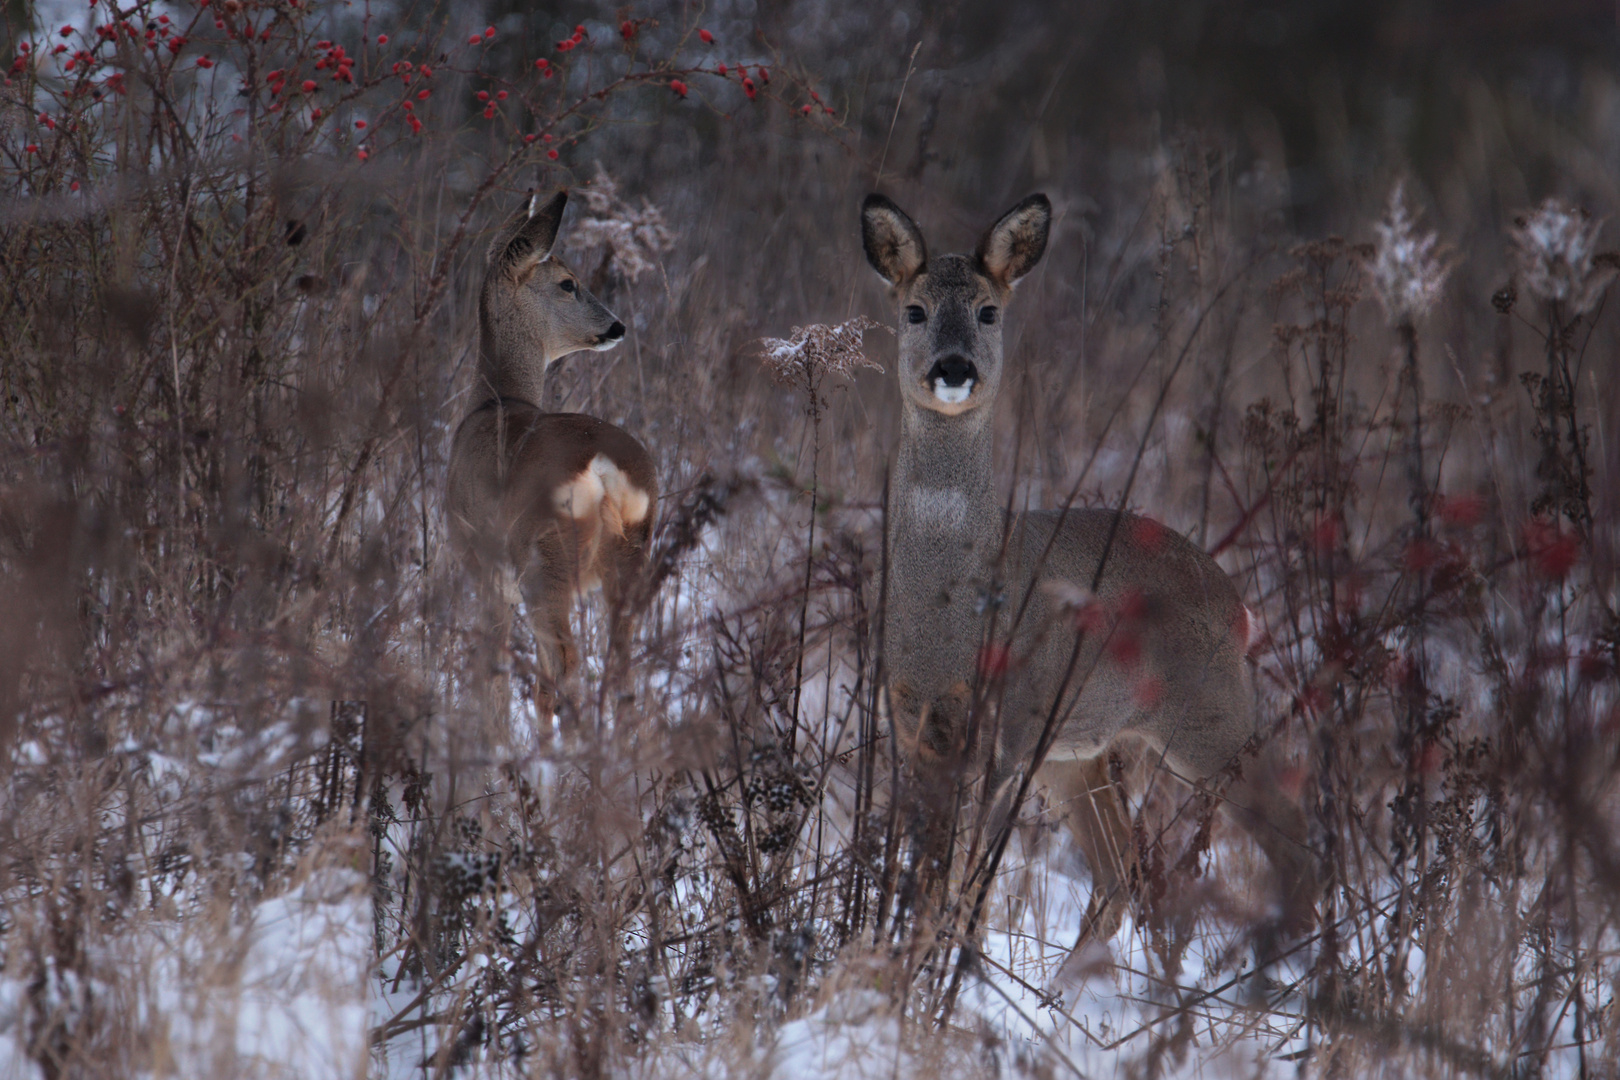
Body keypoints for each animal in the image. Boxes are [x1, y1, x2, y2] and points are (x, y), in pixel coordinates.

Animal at [447, 190, 654, 722]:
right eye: (568, 283)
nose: (618, 326)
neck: (496, 399)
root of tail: (602, 469)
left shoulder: (479, 559)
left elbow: (493, 665)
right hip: (632, 547)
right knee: (621, 661)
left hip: (544, 556)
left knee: (566, 658)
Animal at [861, 191, 1315, 965]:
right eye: (914, 310)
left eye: (989, 311)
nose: (953, 367)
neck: (951, 609)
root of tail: (1238, 606)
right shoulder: (912, 717)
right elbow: (930, 871)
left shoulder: (1011, 721)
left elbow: (969, 874)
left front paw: (953, 966)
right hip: (1085, 750)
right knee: (1118, 871)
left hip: (1207, 718)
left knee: (1295, 835)